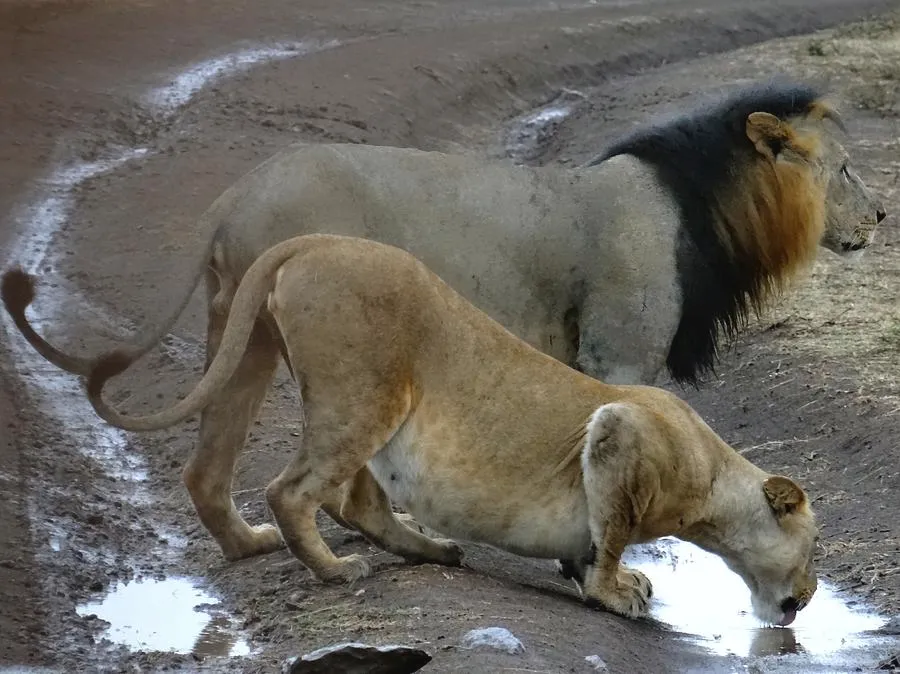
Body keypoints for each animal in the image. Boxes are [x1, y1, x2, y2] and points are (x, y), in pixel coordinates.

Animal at [88, 236, 820, 624]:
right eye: (813, 551)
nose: (809, 598)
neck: (712, 488)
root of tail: (317, 239)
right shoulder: (621, 433)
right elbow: (611, 533)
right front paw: (617, 593)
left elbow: (591, 541)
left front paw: (604, 577)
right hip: (364, 394)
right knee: (293, 492)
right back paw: (337, 571)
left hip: (369, 410)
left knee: (354, 501)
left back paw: (432, 551)